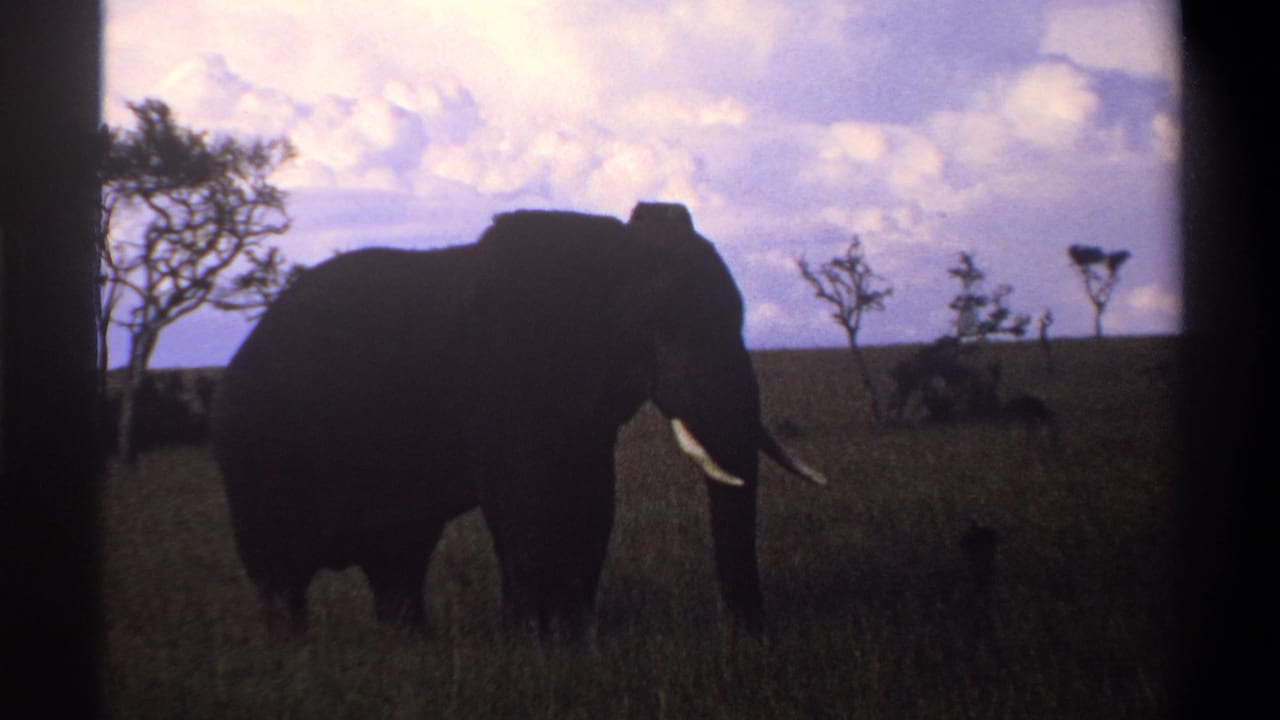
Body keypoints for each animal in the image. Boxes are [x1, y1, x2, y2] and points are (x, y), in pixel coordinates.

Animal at [212, 201, 826, 637]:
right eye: (665, 330)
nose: (751, 634)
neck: (612, 253)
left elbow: (591, 497)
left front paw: (575, 635)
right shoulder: (500, 375)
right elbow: (524, 499)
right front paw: (534, 642)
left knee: (398, 562)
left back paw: (410, 645)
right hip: (255, 449)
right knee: (280, 575)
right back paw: (295, 655)